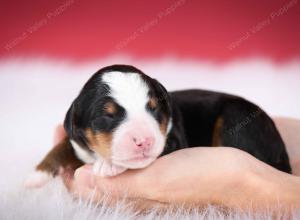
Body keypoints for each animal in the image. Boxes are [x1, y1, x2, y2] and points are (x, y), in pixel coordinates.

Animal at [25, 64, 290, 186]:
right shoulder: (76, 140)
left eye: (153, 108)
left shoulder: (173, 141)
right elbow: (63, 146)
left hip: (237, 118)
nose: (144, 141)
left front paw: (108, 165)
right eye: (108, 116)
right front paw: (37, 174)